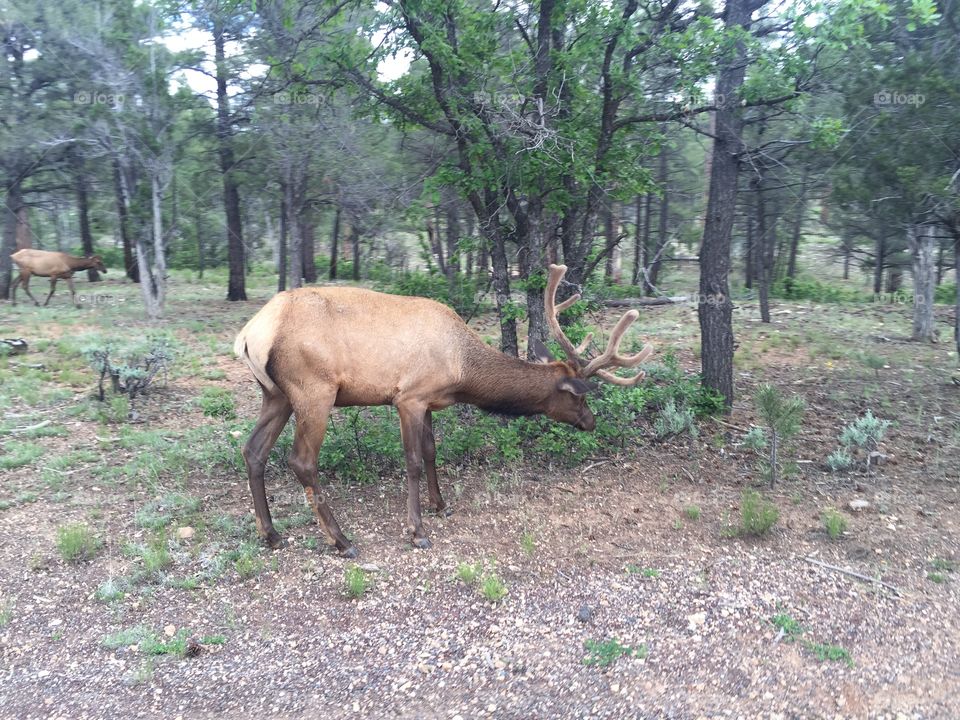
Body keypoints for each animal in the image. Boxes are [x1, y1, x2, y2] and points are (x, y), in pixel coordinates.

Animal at [234, 264, 652, 556]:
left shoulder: (430, 402)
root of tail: (250, 334)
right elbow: (413, 461)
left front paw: (441, 505)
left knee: (253, 450)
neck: (461, 371)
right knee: (301, 460)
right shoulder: (408, 397)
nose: (590, 422)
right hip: (314, 390)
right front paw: (417, 531)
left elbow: (433, 451)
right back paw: (342, 540)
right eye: (579, 397)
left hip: (275, 394)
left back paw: (271, 534)